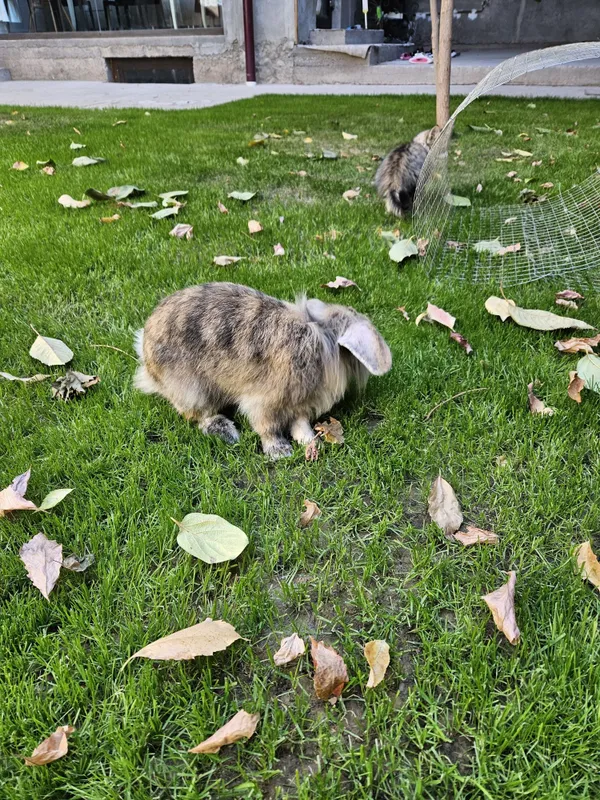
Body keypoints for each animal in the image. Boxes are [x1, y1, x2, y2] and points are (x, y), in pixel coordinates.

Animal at [134, 282, 392, 459]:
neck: (324, 342)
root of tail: (147, 361)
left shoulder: (298, 404)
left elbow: (300, 423)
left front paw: (310, 442)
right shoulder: (265, 401)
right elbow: (267, 427)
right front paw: (280, 451)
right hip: (194, 391)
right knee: (198, 416)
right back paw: (226, 431)